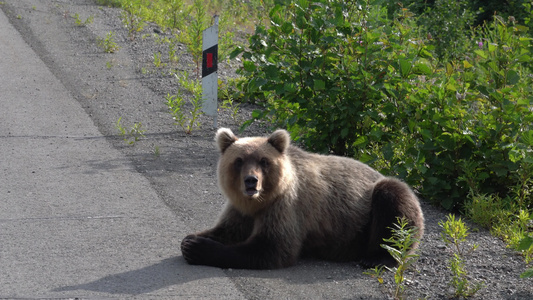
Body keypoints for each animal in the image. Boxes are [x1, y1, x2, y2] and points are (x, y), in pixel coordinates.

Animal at [181, 127, 422, 268]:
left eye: (263, 161)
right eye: (239, 160)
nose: (251, 181)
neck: (259, 202)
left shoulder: (287, 207)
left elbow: (273, 248)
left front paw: (197, 248)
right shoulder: (240, 210)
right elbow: (228, 229)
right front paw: (191, 238)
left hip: (368, 212)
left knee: (394, 202)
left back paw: (377, 258)